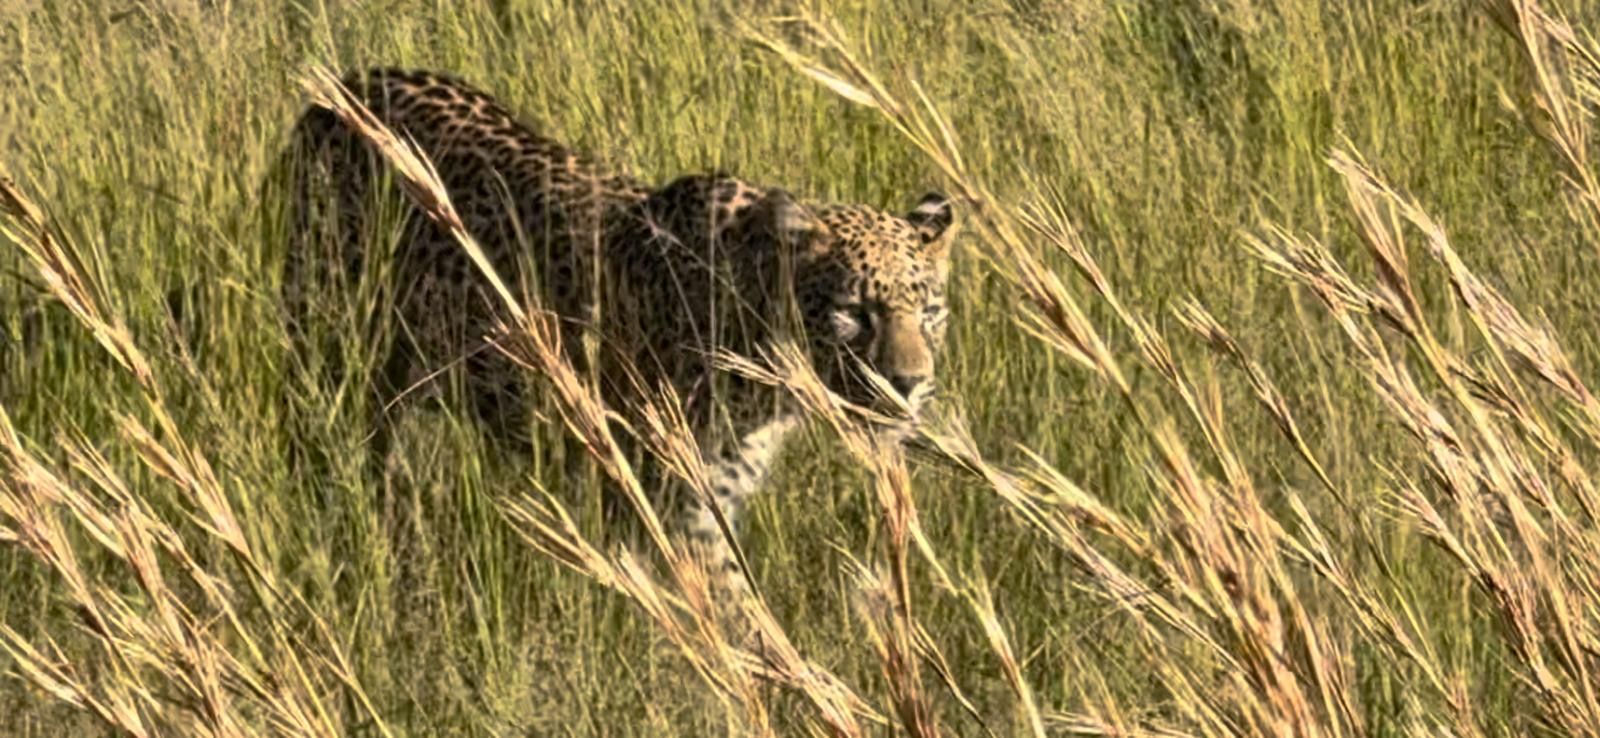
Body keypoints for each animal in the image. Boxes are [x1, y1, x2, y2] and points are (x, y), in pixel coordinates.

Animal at [281, 67, 956, 591]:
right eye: (854, 313)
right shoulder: (676, 505)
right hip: (330, 344)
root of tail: (345, 83)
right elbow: (728, 614)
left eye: (929, 313)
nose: (910, 384)